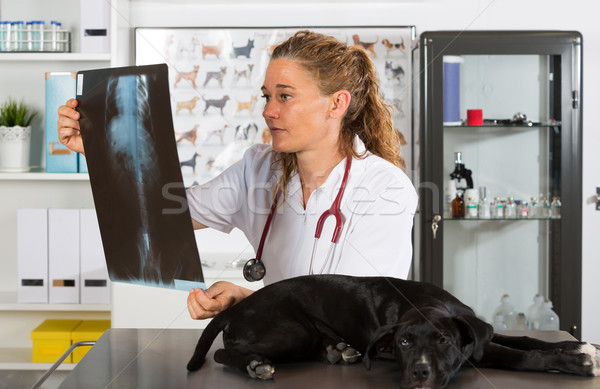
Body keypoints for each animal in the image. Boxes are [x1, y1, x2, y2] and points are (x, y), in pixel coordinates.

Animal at [188, 274, 600, 386]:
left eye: (444, 340)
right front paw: (578, 363)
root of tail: (235, 308)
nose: (418, 372)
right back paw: (255, 364)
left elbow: (523, 338)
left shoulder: (477, 334)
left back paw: (339, 350)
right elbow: (521, 356)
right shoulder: (477, 352)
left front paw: (580, 345)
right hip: (293, 331)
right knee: (224, 351)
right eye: (402, 343)